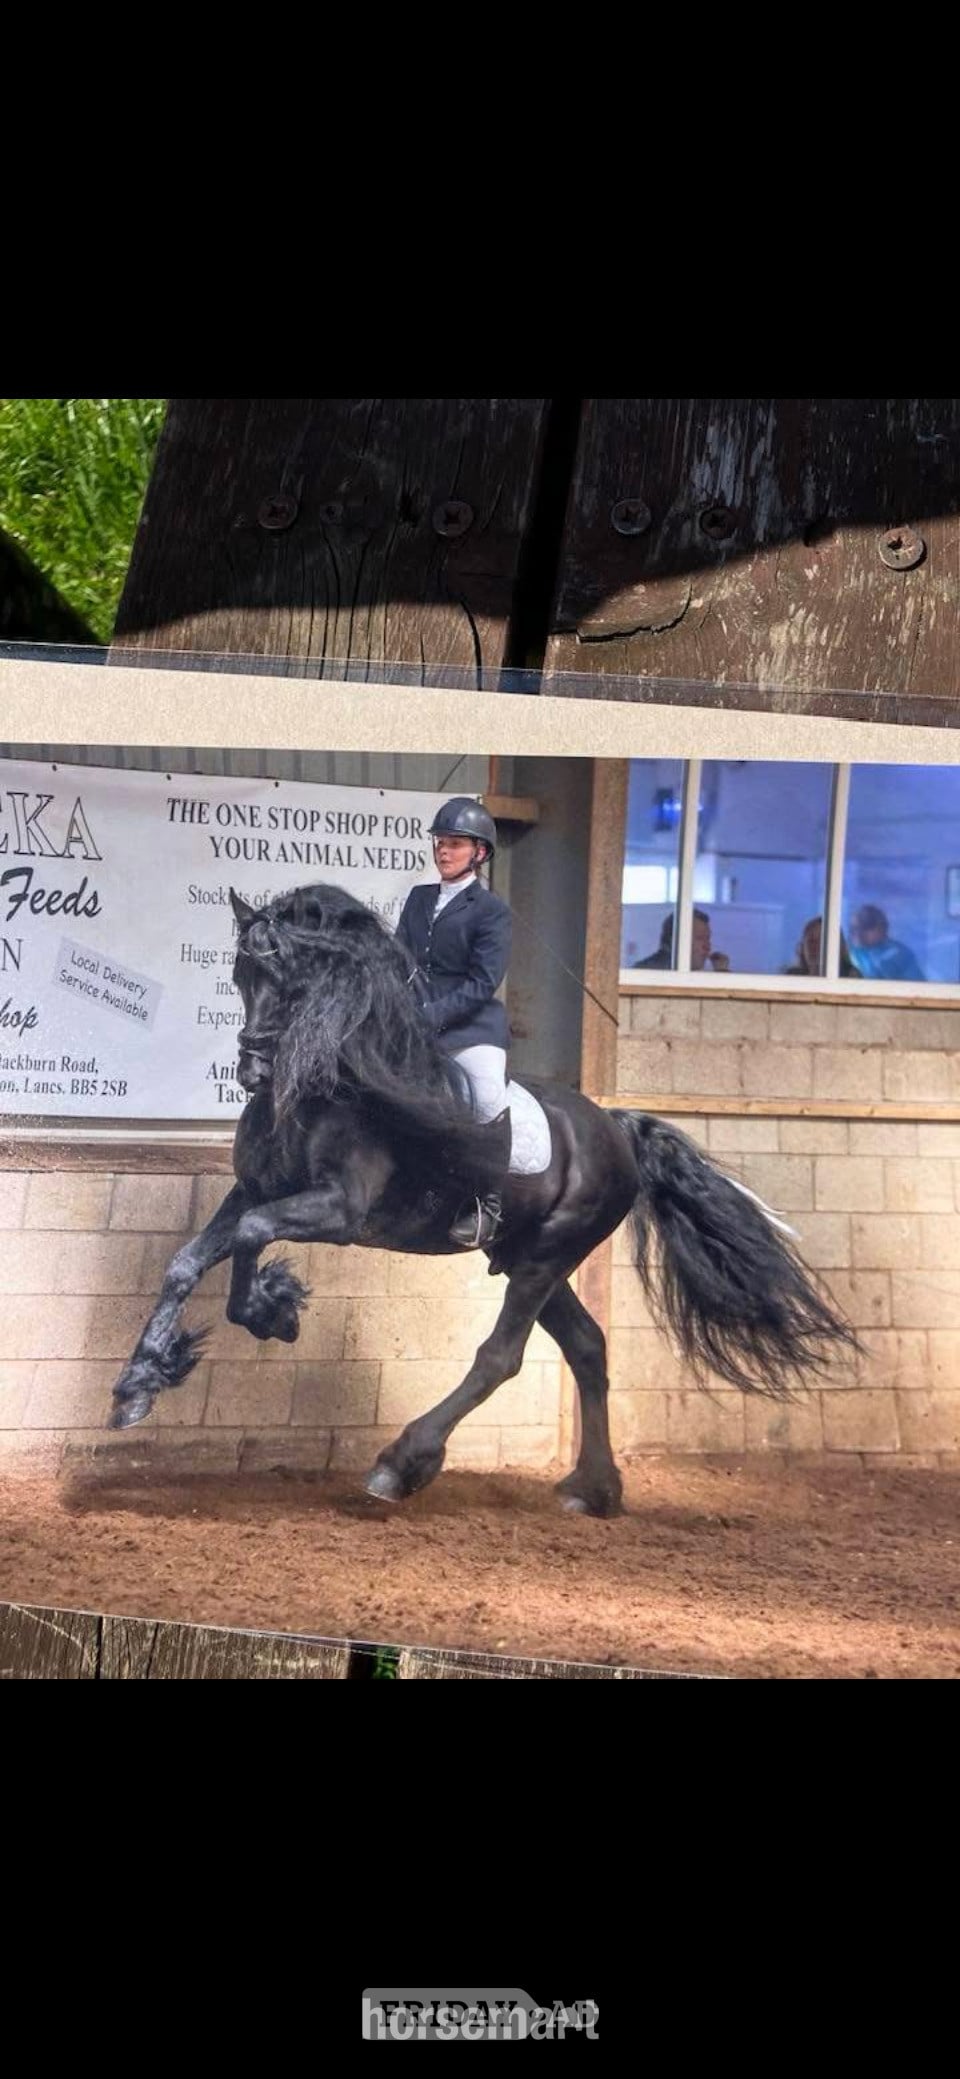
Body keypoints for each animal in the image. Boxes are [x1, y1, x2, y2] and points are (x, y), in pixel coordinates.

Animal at [109, 882, 858, 1517]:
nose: (253, 1070)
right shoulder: (253, 1189)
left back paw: (402, 1463)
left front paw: (272, 1311)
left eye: (294, 980)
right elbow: (191, 1259)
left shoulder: (339, 1209)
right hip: (532, 1258)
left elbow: (250, 1237)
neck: (324, 1087)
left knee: (502, 1356)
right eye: (241, 976)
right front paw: (139, 1386)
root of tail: (614, 1126)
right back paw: (593, 1489)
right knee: (587, 1346)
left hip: (547, 1255)